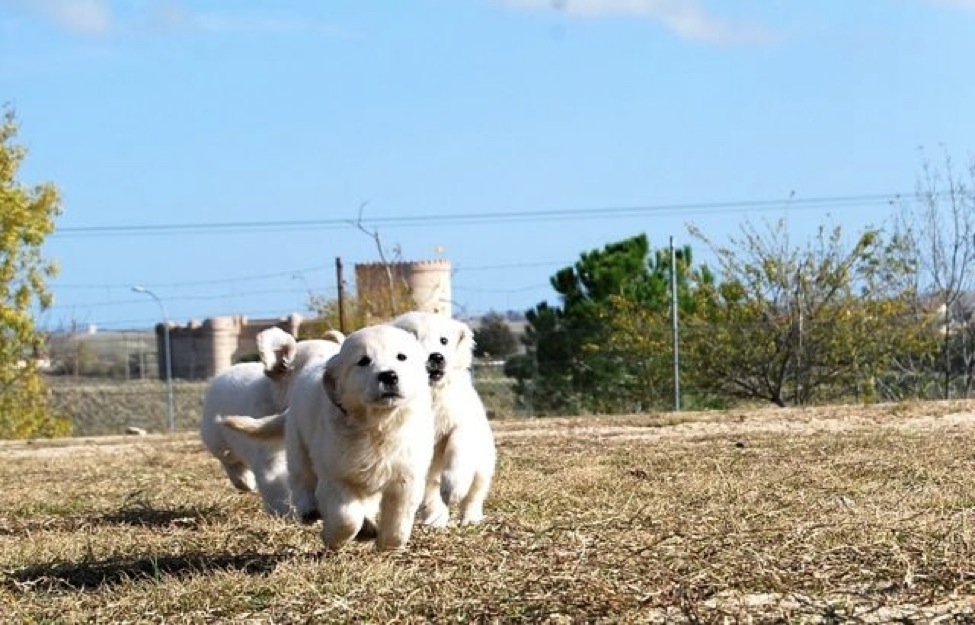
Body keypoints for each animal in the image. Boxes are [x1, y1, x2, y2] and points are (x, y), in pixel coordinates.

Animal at [223, 324, 436, 548]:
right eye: (363, 361)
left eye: (402, 357)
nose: (389, 376)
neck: (378, 426)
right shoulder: (335, 477)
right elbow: (346, 519)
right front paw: (333, 539)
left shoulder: (406, 477)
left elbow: (399, 521)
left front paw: (388, 544)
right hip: (298, 443)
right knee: (301, 479)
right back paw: (309, 510)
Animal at [390, 310, 500, 524]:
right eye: (414, 337)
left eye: (444, 340)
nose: (436, 357)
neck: (432, 392)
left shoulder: (460, 415)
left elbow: (459, 443)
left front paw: (453, 488)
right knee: (430, 487)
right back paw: (435, 517)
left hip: (484, 459)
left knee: (476, 489)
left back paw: (470, 516)